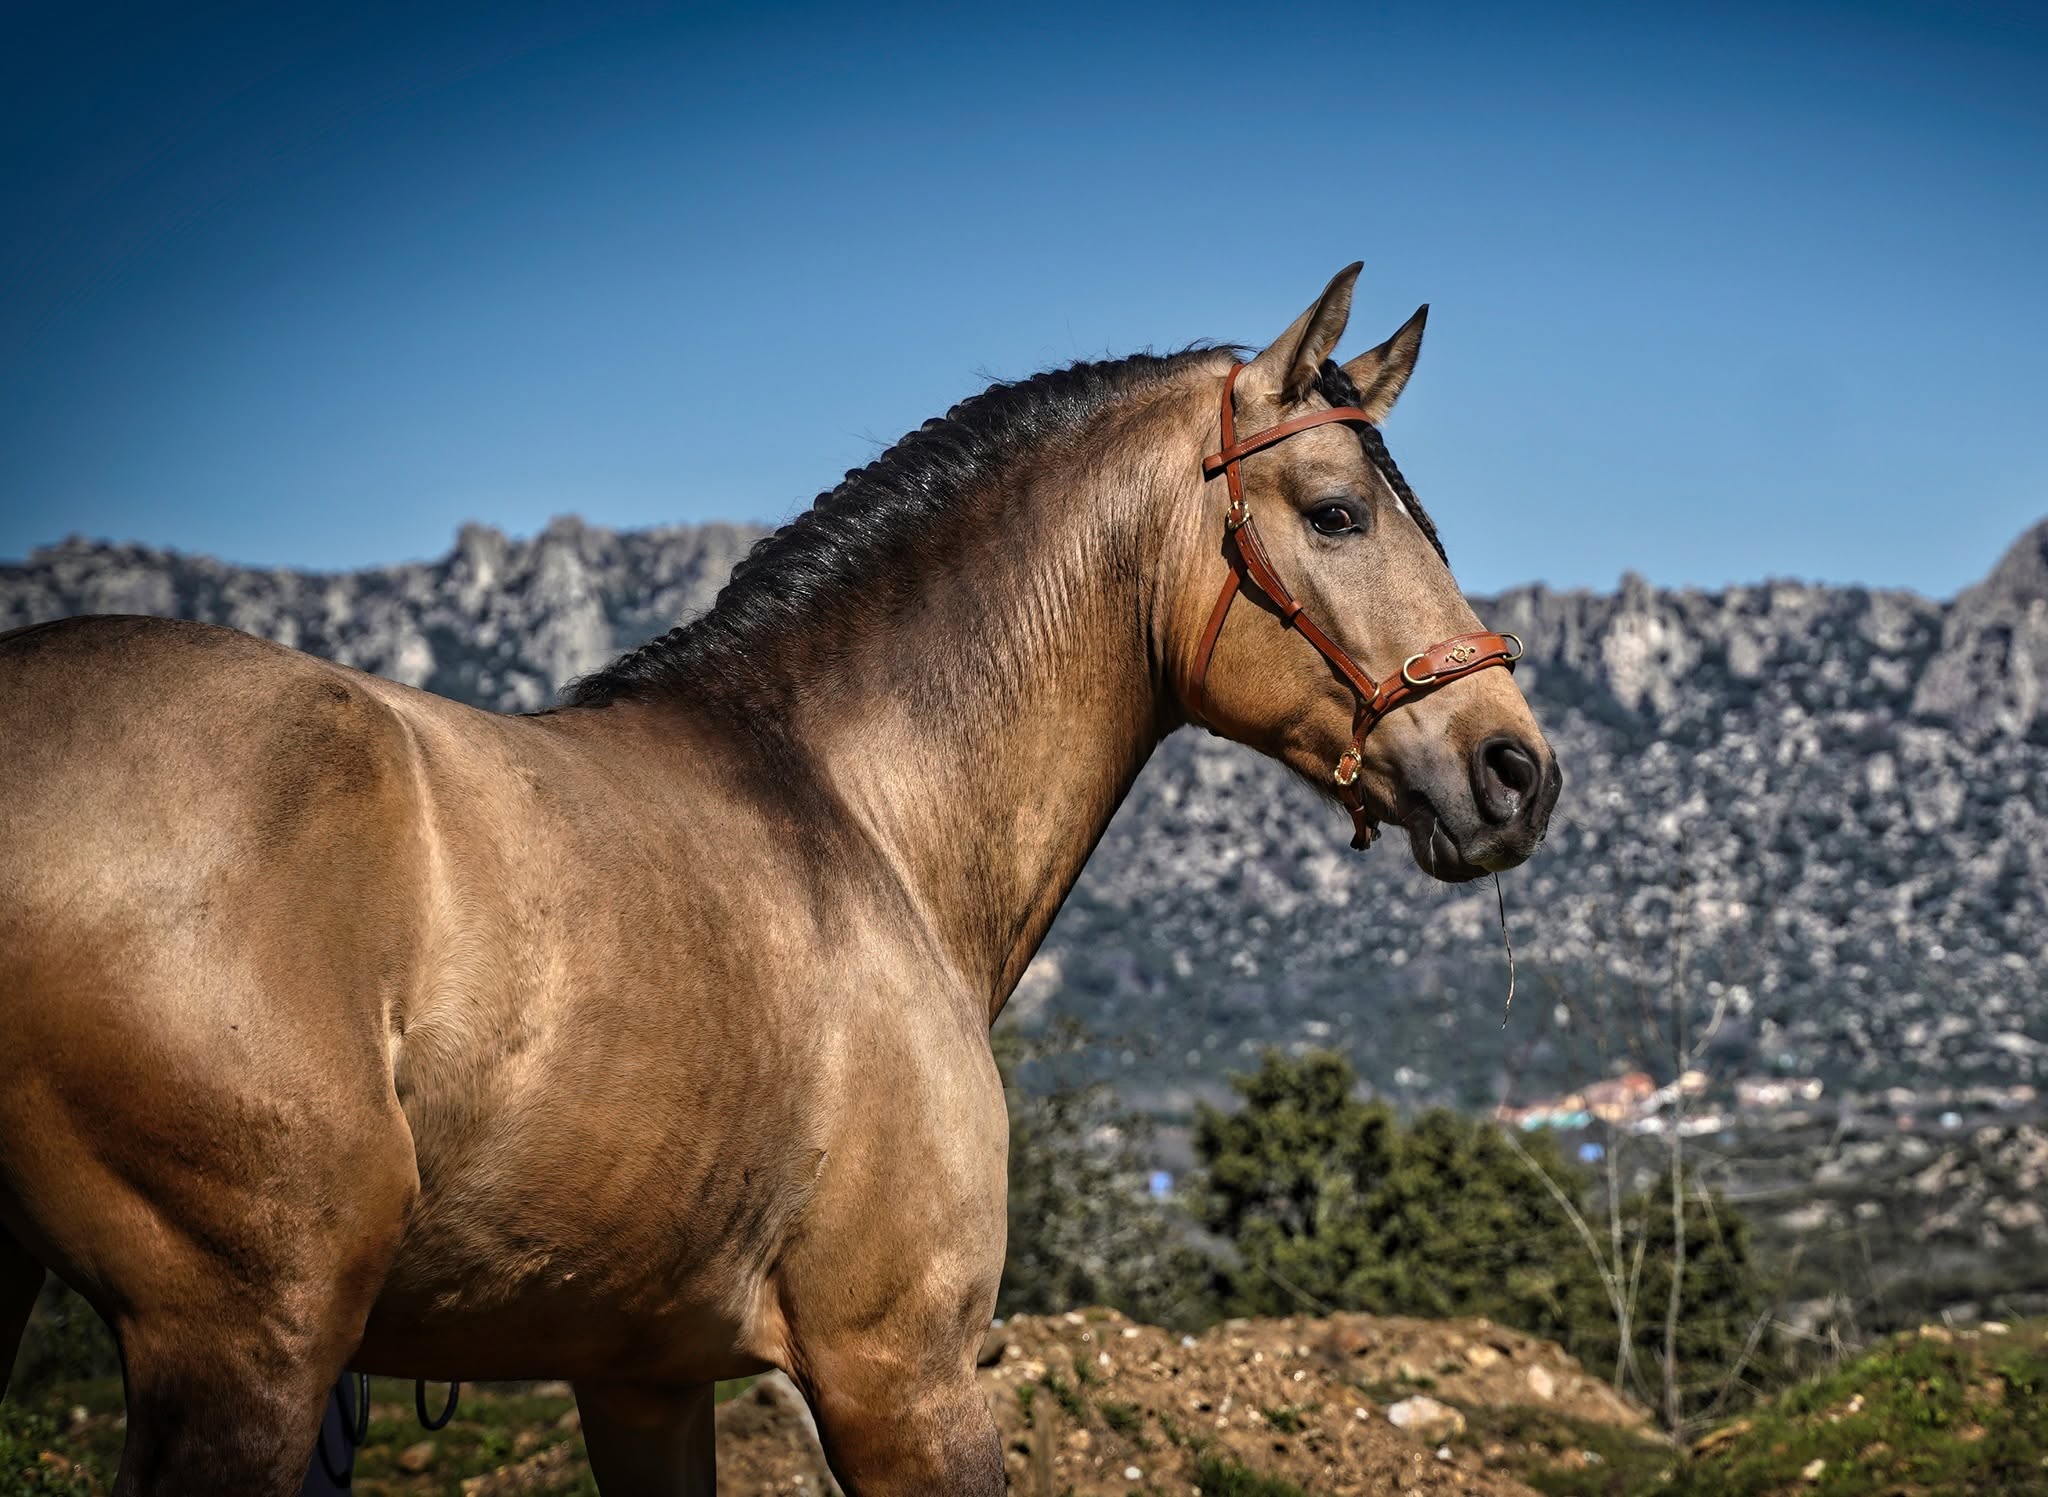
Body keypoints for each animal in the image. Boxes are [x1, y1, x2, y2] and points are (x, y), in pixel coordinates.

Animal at [0, 264, 1560, 1494]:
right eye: (1338, 511)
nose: (1514, 770)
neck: (855, 806)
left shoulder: (641, 1378)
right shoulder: (900, 1375)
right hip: (252, 1337)